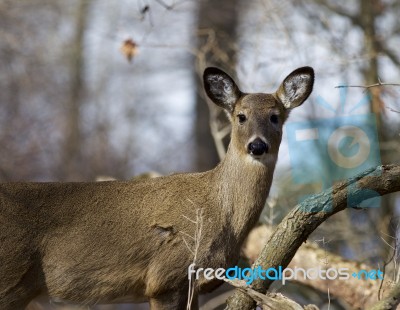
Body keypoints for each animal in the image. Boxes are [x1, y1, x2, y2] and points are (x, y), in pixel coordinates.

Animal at [0, 65, 312, 308]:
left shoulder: (195, 285)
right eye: (241, 116)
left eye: (275, 116)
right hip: (10, 280)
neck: (219, 213)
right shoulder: (165, 278)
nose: (257, 146)